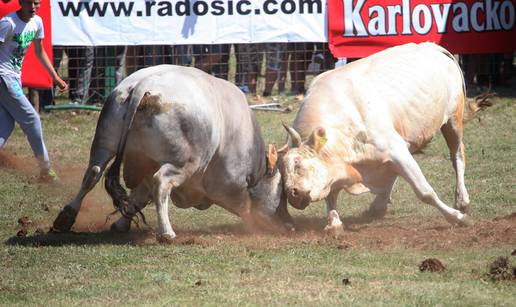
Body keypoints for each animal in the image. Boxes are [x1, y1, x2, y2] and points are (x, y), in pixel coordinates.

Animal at [55, 65, 294, 243]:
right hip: (183, 163)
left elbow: (139, 197)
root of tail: (144, 87)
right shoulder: (228, 184)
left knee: (92, 173)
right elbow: (244, 205)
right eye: (282, 194)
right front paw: (255, 226)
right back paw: (167, 233)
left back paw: (66, 217)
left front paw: (121, 224)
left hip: (104, 143)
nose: (290, 225)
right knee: (161, 182)